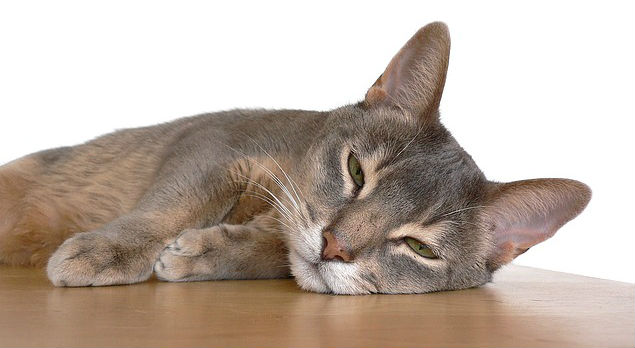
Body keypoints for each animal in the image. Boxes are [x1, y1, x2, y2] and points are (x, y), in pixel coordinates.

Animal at [0, 21, 592, 294]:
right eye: (355, 171)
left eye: (420, 248)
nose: (336, 247)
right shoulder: (216, 145)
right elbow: (172, 207)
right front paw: (110, 251)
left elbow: (278, 252)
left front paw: (208, 253)